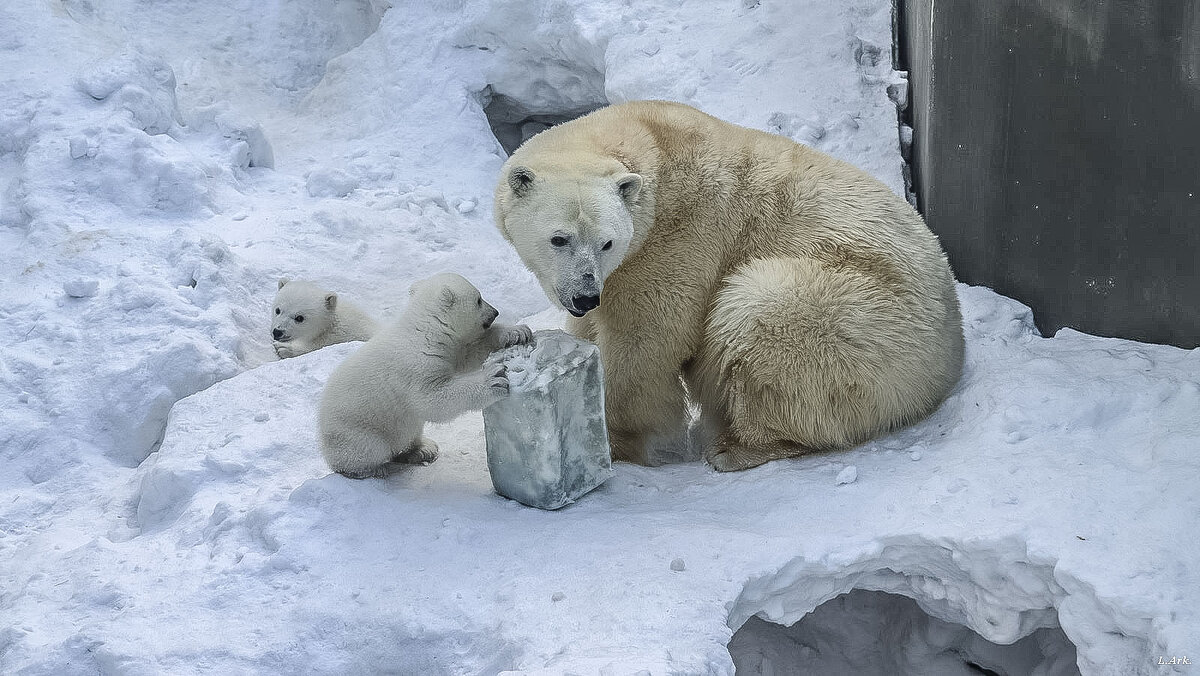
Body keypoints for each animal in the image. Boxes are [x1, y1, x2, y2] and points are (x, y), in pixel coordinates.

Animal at [492, 100, 960, 470]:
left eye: (607, 242)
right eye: (560, 239)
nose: (586, 295)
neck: (653, 142)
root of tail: (950, 352)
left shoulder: (676, 240)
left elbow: (646, 340)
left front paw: (616, 441)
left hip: (864, 315)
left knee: (761, 313)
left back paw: (734, 448)